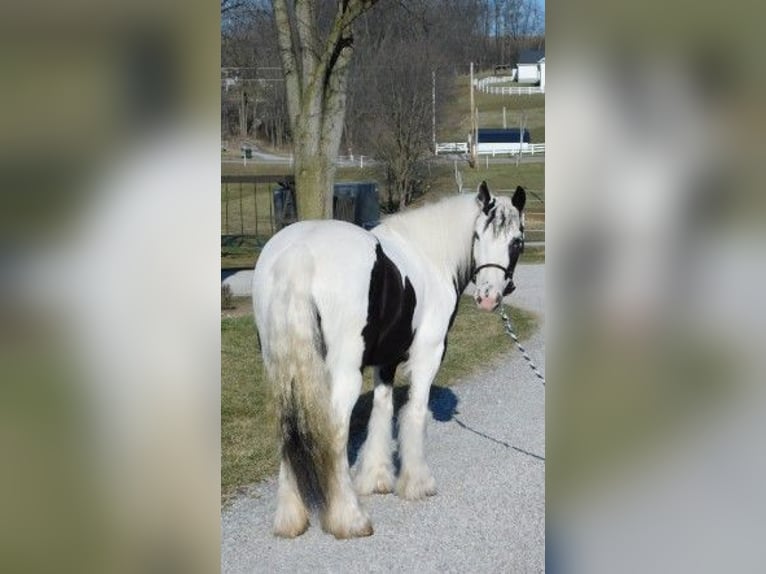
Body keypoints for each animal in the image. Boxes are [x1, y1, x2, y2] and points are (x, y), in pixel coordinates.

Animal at [252, 180, 528, 540]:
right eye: (479, 236)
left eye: (515, 241)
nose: (488, 297)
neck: (430, 256)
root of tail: (298, 254)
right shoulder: (428, 355)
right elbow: (414, 412)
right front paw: (417, 484)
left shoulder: (385, 361)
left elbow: (382, 411)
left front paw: (375, 478)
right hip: (344, 374)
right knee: (334, 431)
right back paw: (350, 519)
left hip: (280, 370)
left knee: (286, 429)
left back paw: (290, 519)